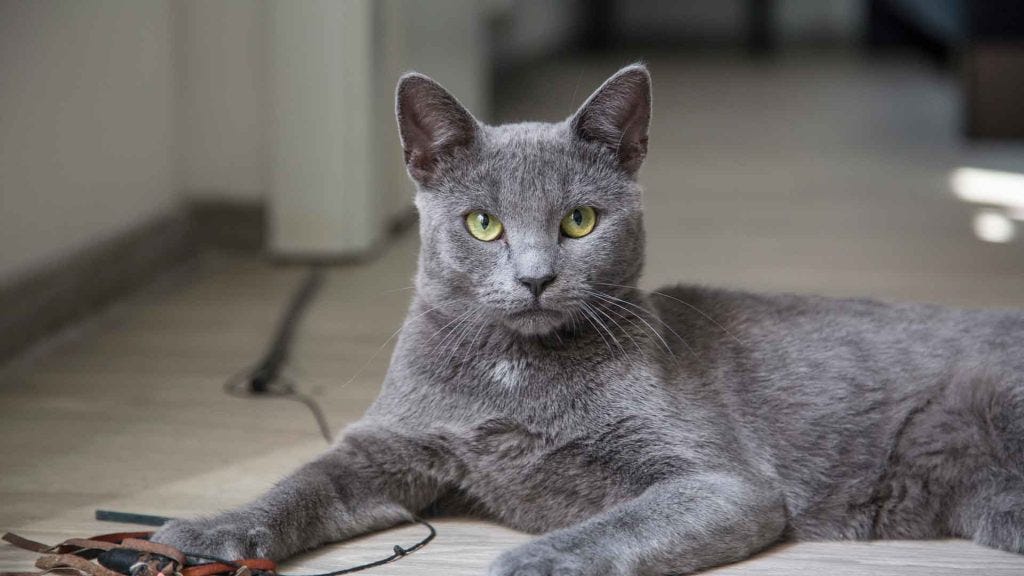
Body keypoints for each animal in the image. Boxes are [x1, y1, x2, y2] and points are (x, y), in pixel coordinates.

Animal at [151, 65, 1024, 569]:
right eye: (483, 224)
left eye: (579, 221)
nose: (536, 277)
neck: (513, 373)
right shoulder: (390, 445)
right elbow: (304, 482)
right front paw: (209, 532)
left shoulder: (721, 482)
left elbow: (618, 524)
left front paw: (527, 561)